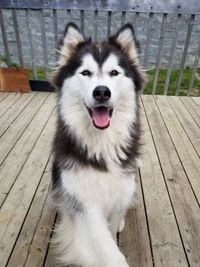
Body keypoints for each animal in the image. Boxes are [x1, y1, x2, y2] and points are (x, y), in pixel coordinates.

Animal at [50, 21, 145, 267]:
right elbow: (107, 249)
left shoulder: (120, 189)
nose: (102, 92)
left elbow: (112, 225)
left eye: (114, 72)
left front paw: (116, 224)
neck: (102, 144)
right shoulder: (83, 204)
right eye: (85, 72)